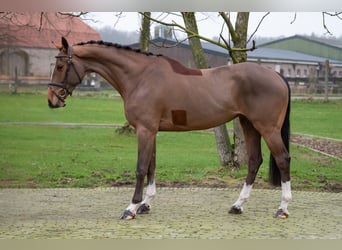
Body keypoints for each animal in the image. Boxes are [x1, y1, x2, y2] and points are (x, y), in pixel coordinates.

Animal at [48, 36, 292, 219]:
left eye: (60, 66)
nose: (51, 100)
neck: (140, 77)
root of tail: (276, 74)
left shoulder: (145, 130)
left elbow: (140, 167)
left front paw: (131, 208)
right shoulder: (151, 131)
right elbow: (151, 166)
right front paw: (146, 204)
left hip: (267, 128)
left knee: (283, 159)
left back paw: (282, 208)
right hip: (248, 124)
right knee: (254, 161)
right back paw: (237, 205)